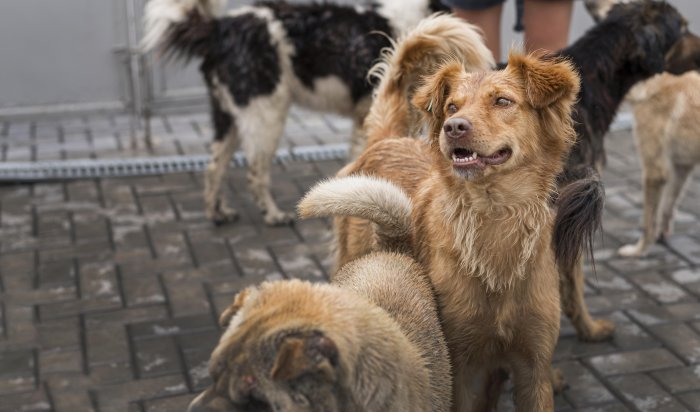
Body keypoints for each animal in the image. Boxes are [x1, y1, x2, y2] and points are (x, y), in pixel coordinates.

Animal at [142, 0, 492, 225]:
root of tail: (219, 28)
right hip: (265, 114)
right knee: (255, 171)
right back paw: (273, 215)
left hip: (228, 116)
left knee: (214, 166)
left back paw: (217, 213)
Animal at [304, 52, 584, 412]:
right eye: (452, 107)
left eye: (503, 101)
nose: (454, 127)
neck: (494, 217)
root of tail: (386, 139)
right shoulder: (457, 367)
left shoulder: (533, 367)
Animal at [616, 71, 700, 258]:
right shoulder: (681, 168)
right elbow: (668, 207)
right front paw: (662, 236)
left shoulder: (654, 172)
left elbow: (648, 222)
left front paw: (639, 250)